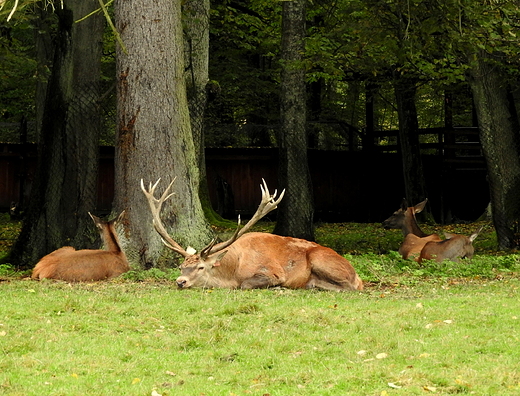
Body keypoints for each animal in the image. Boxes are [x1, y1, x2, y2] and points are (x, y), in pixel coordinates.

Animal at [140, 179, 364, 290]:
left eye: (201, 267)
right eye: (181, 266)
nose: (180, 281)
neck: (233, 270)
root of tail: (358, 275)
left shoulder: (272, 271)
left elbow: (245, 284)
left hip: (321, 259)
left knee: (350, 287)